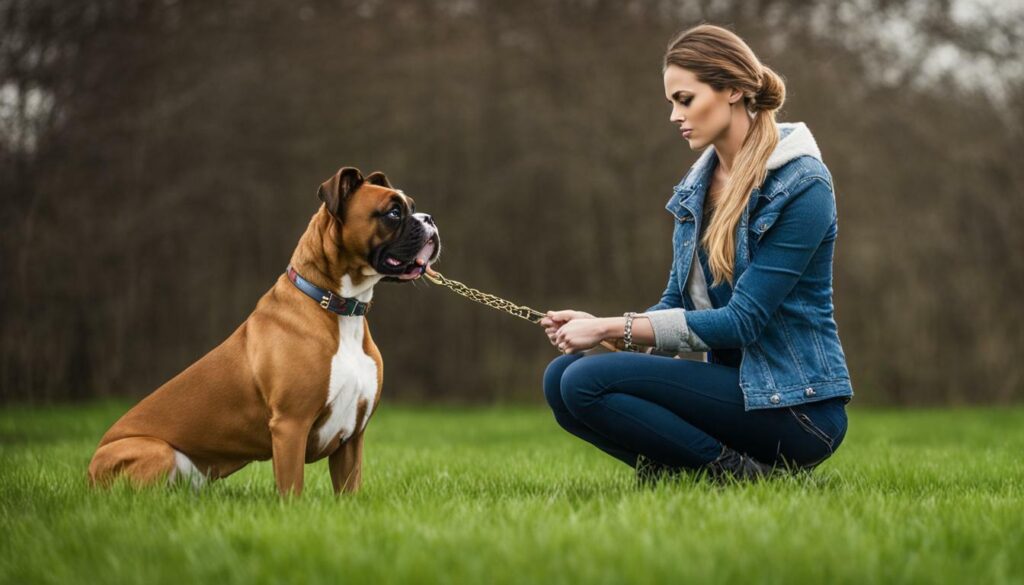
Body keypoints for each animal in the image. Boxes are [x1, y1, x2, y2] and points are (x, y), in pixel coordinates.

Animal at [89, 166, 440, 495]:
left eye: (412, 206)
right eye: (393, 213)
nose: (429, 219)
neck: (337, 307)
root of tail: (89, 472)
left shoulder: (352, 437)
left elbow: (348, 489)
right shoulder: (290, 426)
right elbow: (292, 490)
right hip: (157, 451)